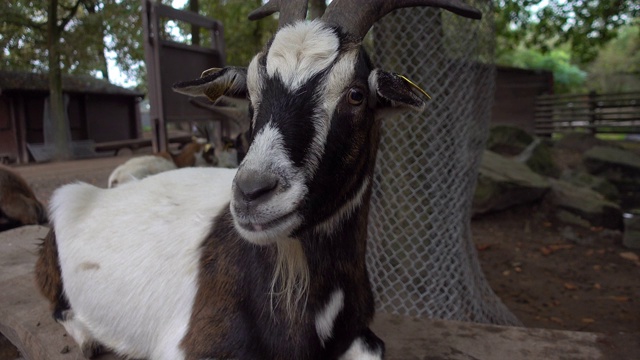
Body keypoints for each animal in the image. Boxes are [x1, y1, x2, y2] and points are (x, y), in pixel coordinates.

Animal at [35, 0, 480, 360]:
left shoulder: (362, 335)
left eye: (356, 95)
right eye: (250, 94)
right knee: (57, 306)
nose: (252, 192)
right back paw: (89, 338)